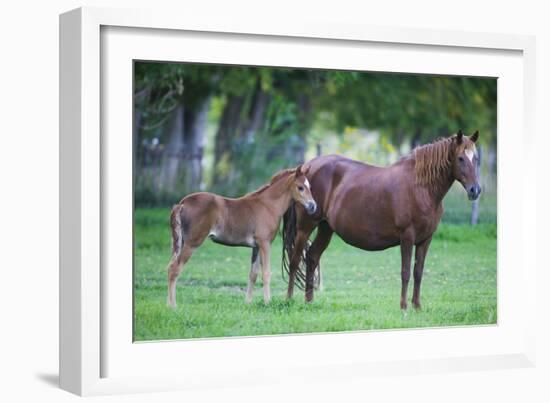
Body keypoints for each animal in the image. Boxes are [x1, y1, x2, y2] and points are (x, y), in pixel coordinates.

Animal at [284, 129, 484, 310]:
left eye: (475, 158)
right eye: (460, 158)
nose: (475, 190)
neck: (421, 187)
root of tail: (305, 168)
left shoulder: (426, 240)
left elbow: (418, 272)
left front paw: (417, 306)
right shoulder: (407, 237)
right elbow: (405, 272)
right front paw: (403, 307)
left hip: (326, 228)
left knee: (312, 257)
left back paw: (309, 301)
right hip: (305, 227)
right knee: (295, 260)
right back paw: (289, 299)